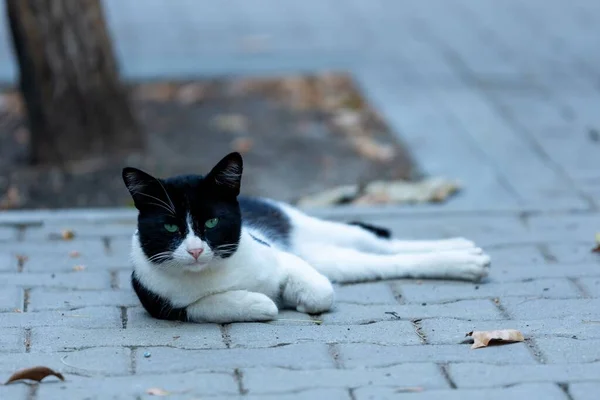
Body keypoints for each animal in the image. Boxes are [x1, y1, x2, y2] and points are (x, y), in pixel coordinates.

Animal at [123, 152, 492, 324]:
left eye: (212, 222)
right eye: (171, 228)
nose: (196, 250)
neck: (214, 274)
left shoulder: (283, 258)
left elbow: (321, 294)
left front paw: (295, 298)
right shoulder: (159, 302)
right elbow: (206, 306)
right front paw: (260, 302)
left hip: (311, 230)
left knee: (382, 243)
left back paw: (464, 256)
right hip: (333, 259)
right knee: (385, 262)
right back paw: (464, 256)